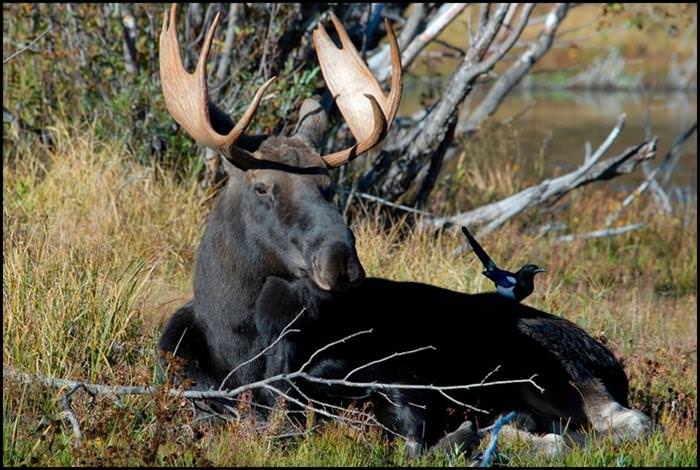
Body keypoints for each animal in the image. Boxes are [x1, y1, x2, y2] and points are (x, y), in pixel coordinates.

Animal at [157, 4, 652, 456]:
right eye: (262, 186)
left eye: (329, 185)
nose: (341, 261)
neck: (239, 343)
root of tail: (612, 362)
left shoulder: (394, 374)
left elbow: (409, 436)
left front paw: (462, 435)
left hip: (547, 374)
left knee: (623, 424)